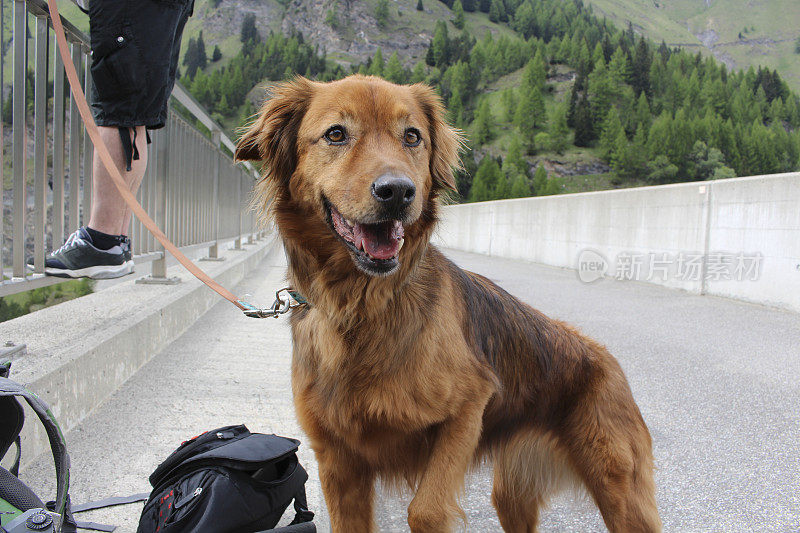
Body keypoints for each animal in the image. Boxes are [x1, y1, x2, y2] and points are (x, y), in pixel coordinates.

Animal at [234, 76, 660, 532]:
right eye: (335, 134)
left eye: (412, 136)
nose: (398, 192)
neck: (362, 304)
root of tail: (608, 359)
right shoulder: (337, 462)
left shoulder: (468, 408)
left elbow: (425, 509)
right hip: (512, 494)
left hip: (620, 490)